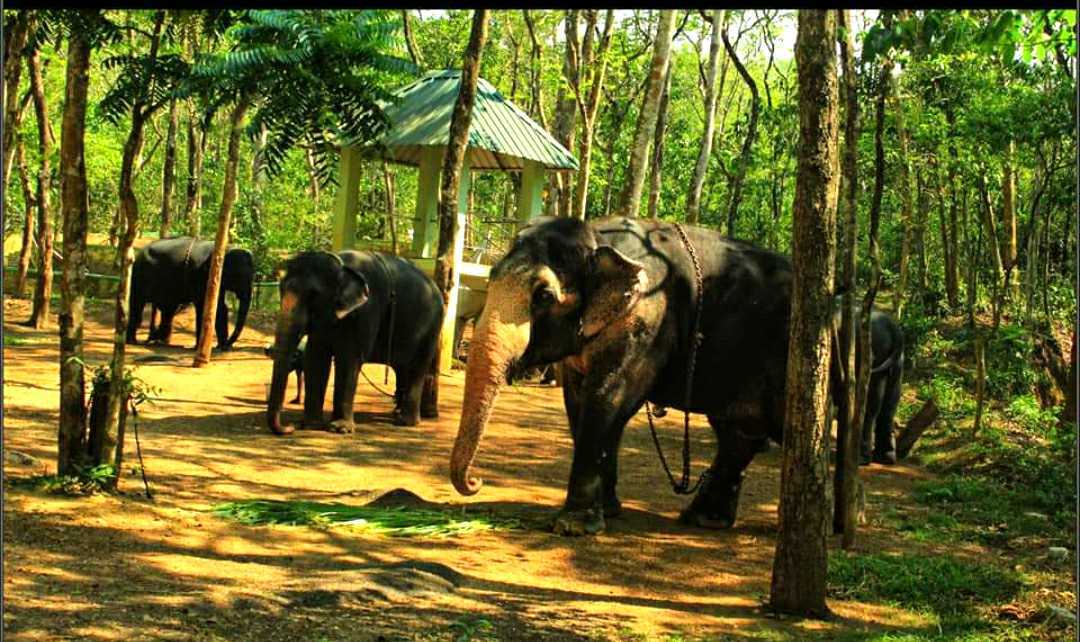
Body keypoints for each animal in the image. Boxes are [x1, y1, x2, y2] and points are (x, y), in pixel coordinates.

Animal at [126, 237, 254, 350]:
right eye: (238, 276)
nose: (228, 345)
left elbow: (221, 307)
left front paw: (221, 347)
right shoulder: (200, 274)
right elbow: (204, 306)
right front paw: (198, 347)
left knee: (168, 309)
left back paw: (158, 340)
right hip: (138, 276)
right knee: (137, 305)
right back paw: (134, 341)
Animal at [265, 250, 444, 436]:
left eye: (313, 296)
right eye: (280, 290)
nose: (289, 427)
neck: (341, 264)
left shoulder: (367, 310)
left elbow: (349, 359)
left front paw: (340, 429)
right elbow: (316, 358)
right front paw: (310, 425)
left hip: (433, 326)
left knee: (417, 366)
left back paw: (406, 422)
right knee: (402, 368)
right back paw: (397, 413)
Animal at [449, 215, 901, 537]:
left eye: (543, 296)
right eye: (490, 279)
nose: (476, 481)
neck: (596, 236)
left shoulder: (649, 319)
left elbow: (609, 398)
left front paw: (573, 527)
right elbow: (580, 403)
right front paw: (608, 511)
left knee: (793, 429)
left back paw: (846, 521)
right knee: (739, 433)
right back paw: (704, 519)